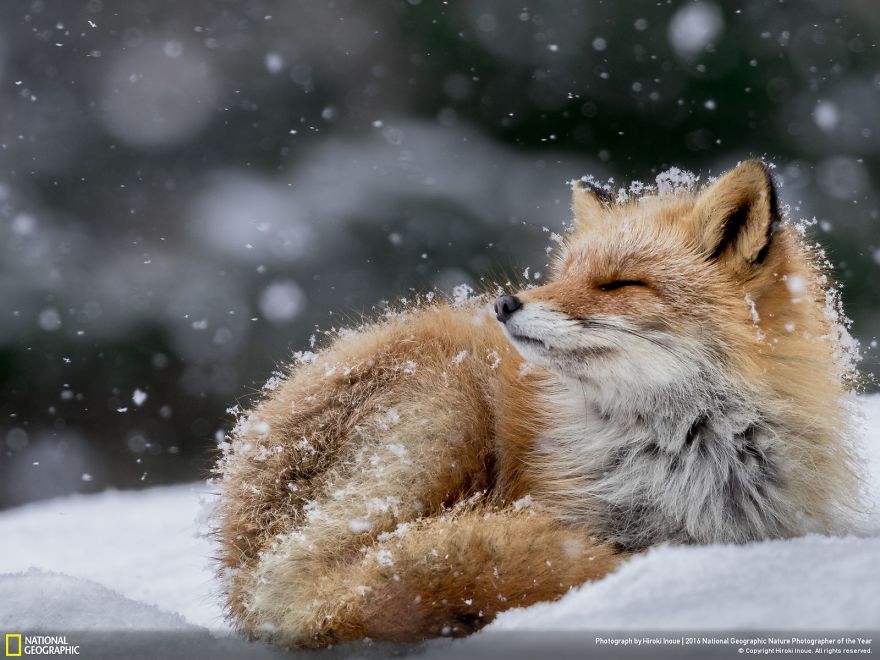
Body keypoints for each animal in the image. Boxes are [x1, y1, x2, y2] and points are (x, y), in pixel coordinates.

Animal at [213, 162, 860, 648]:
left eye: (620, 284)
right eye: (563, 274)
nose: (505, 303)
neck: (686, 458)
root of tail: (241, 572)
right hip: (446, 407)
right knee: (346, 585)